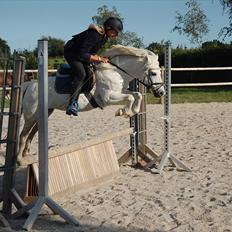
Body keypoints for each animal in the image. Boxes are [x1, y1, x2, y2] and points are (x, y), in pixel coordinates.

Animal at [17, 44, 165, 162]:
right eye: (153, 73)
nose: (161, 93)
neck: (116, 73)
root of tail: (30, 85)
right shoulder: (108, 98)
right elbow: (130, 98)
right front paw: (123, 112)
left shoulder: (121, 91)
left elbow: (136, 95)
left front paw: (131, 111)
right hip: (31, 115)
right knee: (23, 134)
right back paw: (19, 159)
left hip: (45, 112)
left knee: (32, 132)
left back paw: (26, 154)